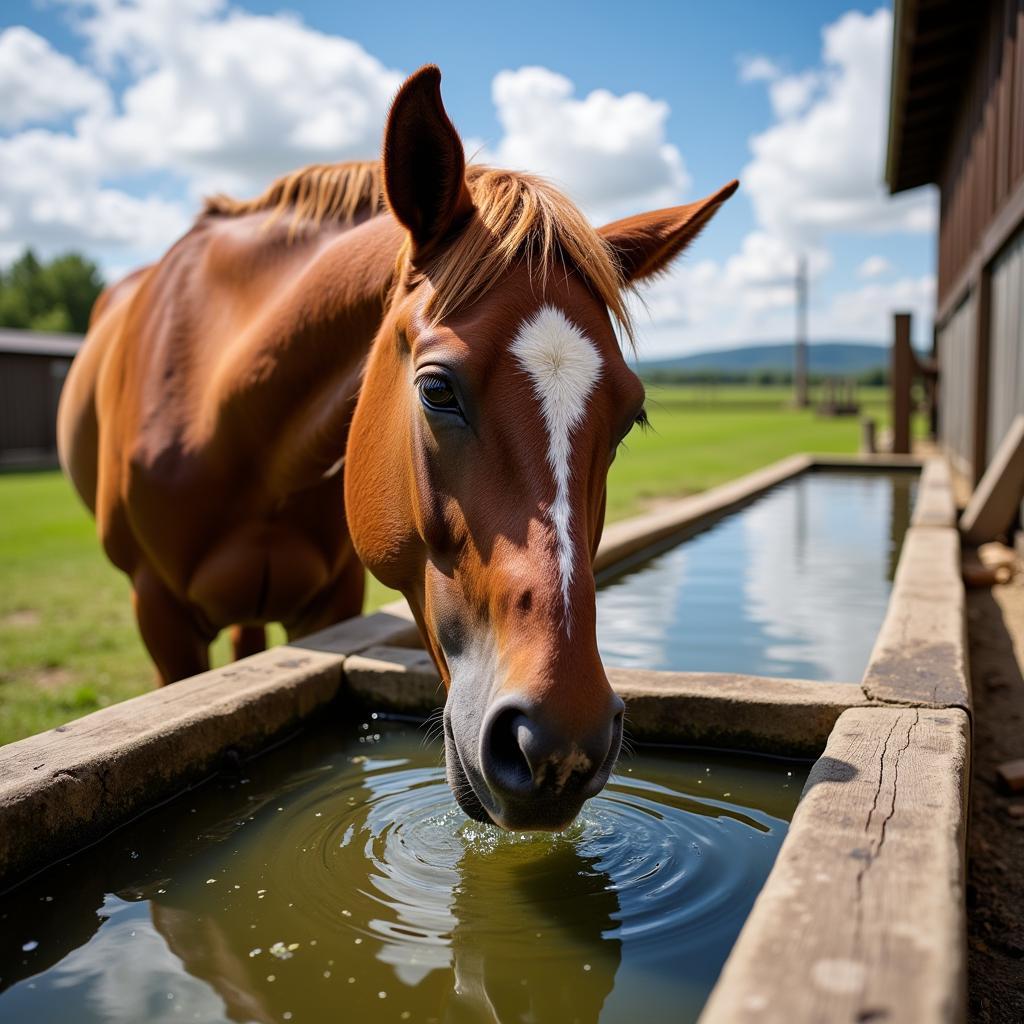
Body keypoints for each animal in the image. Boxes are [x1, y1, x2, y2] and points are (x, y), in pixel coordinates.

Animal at [59, 66, 737, 831]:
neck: (229, 417)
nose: (562, 740)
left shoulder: (330, 601)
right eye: (436, 390)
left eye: (631, 417)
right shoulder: (161, 618)